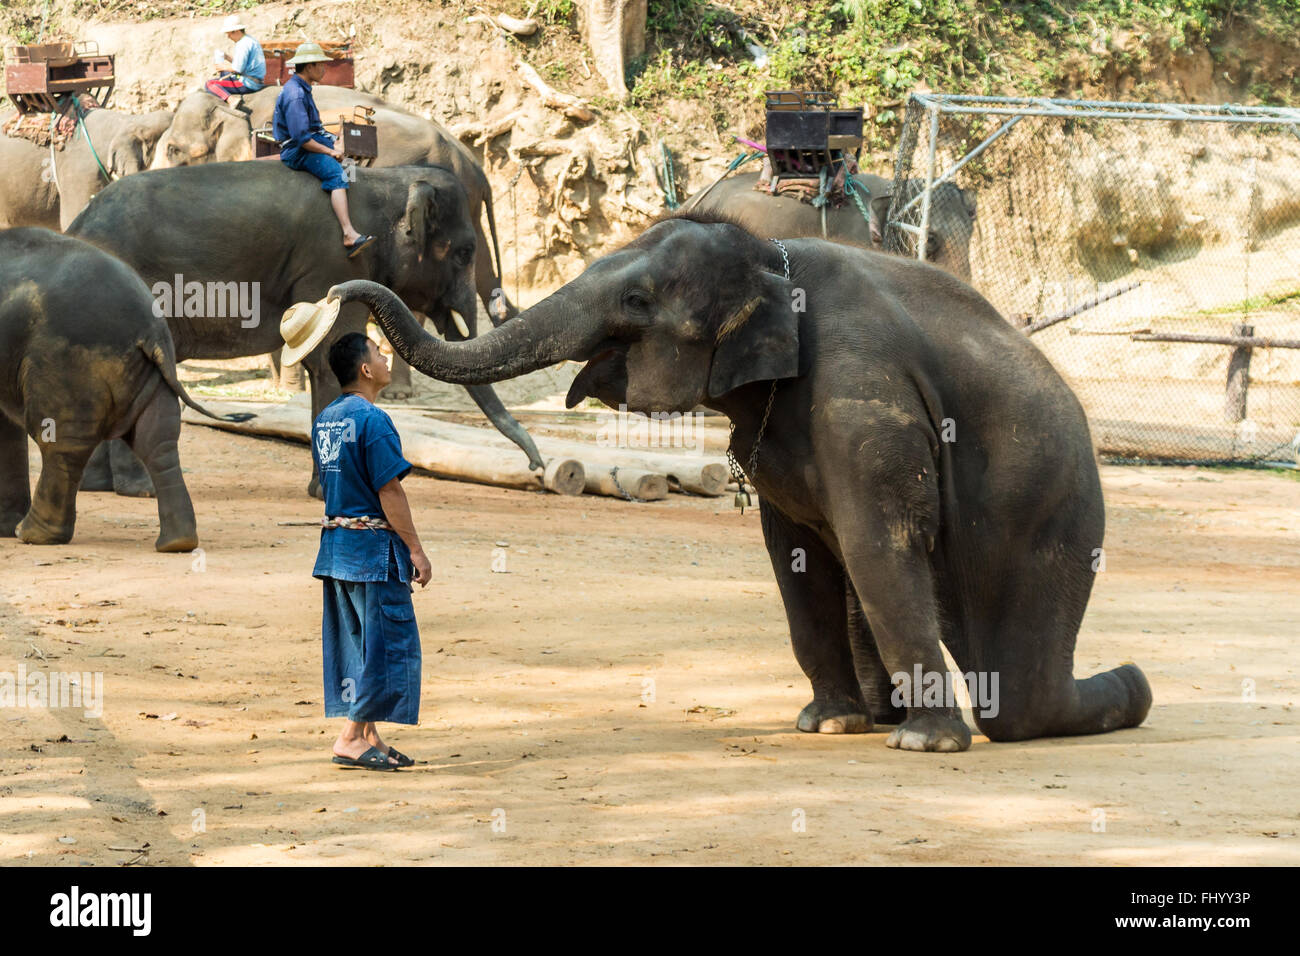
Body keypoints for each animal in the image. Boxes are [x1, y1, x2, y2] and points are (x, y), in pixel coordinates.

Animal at [0, 227, 248, 548]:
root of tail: (150, 329)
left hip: (66, 366)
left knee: (60, 443)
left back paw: (32, 534)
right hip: (149, 372)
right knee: (157, 439)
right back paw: (176, 543)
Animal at [327, 213, 1159, 749]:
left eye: (637, 302)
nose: (338, 295)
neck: (772, 258)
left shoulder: (861, 393)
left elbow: (876, 541)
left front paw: (927, 744)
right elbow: (795, 553)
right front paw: (828, 725)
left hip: (1051, 510)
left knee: (1018, 697)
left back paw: (1124, 689)